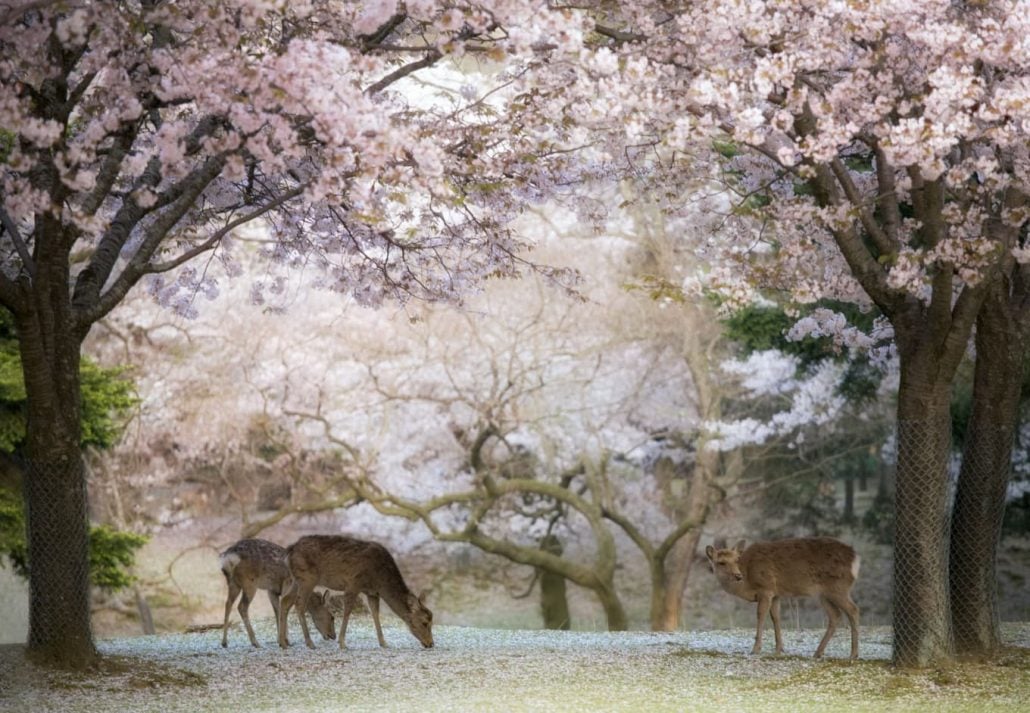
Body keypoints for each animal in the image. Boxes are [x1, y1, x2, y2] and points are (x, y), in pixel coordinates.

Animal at [276, 535, 432, 647]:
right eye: (425, 622)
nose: (431, 643)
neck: (380, 580)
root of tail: (289, 551)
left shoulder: (372, 592)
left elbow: (375, 614)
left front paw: (383, 643)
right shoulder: (354, 583)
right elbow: (348, 611)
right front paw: (342, 642)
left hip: (296, 580)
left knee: (285, 601)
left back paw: (283, 642)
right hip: (307, 578)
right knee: (299, 604)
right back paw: (309, 642)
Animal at [708, 535, 861, 659]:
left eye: (737, 560)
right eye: (721, 562)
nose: (738, 576)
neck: (747, 584)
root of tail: (855, 559)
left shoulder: (766, 588)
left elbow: (761, 615)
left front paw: (756, 649)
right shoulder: (776, 594)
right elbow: (776, 617)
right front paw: (779, 649)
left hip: (838, 587)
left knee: (853, 610)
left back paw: (853, 654)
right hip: (824, 593)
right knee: (835, 615)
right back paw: (818, 653)